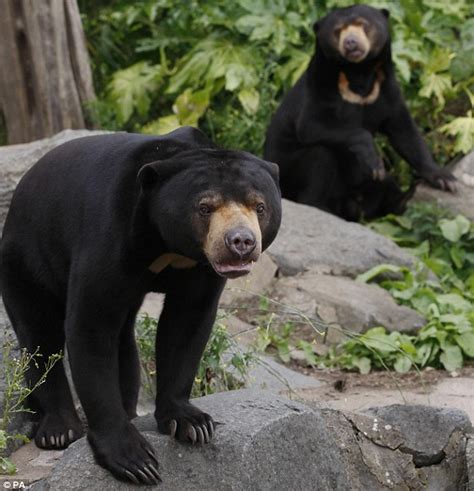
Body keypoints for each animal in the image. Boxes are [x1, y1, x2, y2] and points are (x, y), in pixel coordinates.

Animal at [0, 127, 282, 484]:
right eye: (205, 207)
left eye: (259, 206)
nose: (241, 242)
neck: (168, 247)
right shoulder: (111, 235)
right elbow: (91, 326)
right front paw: (134, 460)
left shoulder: (201, 268)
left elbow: (186, 324)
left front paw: (191, 423)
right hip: (25, 257)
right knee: (39, 334)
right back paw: (59, 430)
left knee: (122, 339)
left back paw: (129, 409)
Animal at [266, 3, 456, 223]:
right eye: (338, 30)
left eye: (363, 24)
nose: (351, 43)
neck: (359, 71)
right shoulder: (321, 85)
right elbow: (312, 125)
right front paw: (374, 162)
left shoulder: (386, 90)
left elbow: (405, 132)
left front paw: (445, 179)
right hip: (289, 174)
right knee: (320, 156)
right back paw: (321, 207)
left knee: (385, 185)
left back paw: (402, 199)